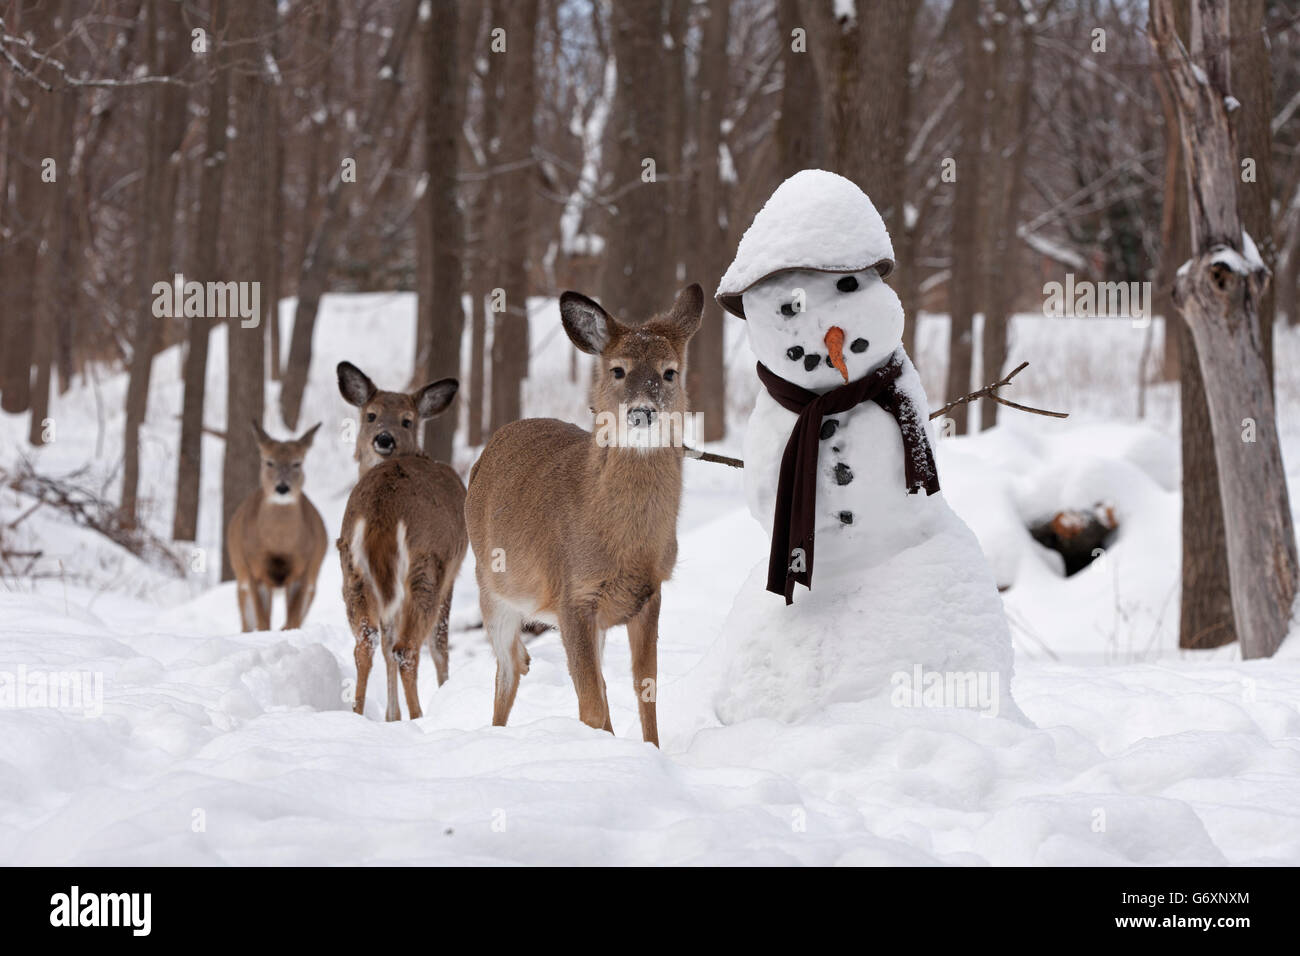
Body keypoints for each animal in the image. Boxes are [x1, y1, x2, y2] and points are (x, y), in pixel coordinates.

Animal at [224, 421, 325, 632]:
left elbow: (293, 620)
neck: (279, 546)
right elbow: (263, 622)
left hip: (313, 579)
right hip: (241, 579)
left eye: (297, 463)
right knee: (247, 623)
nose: (282, 487)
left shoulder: (305, 570)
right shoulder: (253, 569)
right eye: (269, 461)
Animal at [338, 361, 470, 723]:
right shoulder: (453, 570)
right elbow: (439, 644)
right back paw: (419, 716)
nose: (384, 438)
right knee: (407, 648)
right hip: (427, 564)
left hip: (351, 569)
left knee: (368, 642)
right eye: (371, 415)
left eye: (406, 420)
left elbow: (384, 642)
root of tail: (383, 511)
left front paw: (390, 716)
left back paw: (357, 713)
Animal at [467, 283, 707, 749]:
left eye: (670, 372)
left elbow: (643, 690)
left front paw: (650, 751)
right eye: (617, 370)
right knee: (507, 669)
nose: (642, 411)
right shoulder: (572, 595)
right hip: (492, 588)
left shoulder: (648, 594)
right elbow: (592, 704)